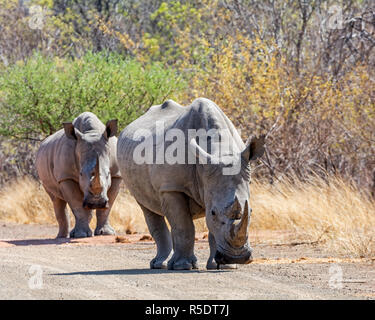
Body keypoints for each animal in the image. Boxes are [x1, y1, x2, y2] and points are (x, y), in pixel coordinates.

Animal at [117, 97, 264, 270]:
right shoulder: (171, 187)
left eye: (251, 211)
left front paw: (223, 266)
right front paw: (183, 266)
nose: (238, 257)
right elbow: (184, 226)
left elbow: (211, 229)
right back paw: (161, 264)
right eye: (213, 212)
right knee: (147, 208)